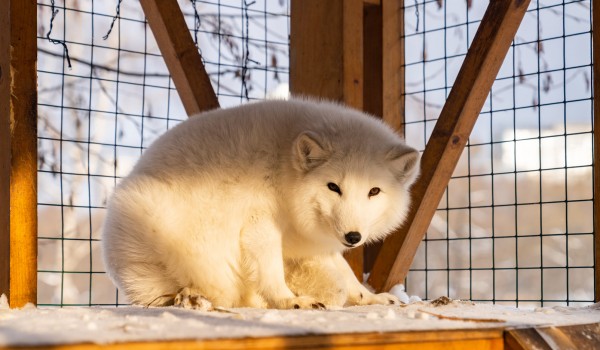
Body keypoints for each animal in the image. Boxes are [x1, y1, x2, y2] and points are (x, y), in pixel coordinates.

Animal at [101, 98, 420, 308]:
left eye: (374, 191)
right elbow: (270, 272)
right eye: (333, 187)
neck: (285, 169)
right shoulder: (259, 225)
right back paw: (192, 298)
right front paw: (290, 302)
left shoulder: (315, 242)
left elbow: (346, 273)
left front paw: (371, 297)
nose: (353, 237)